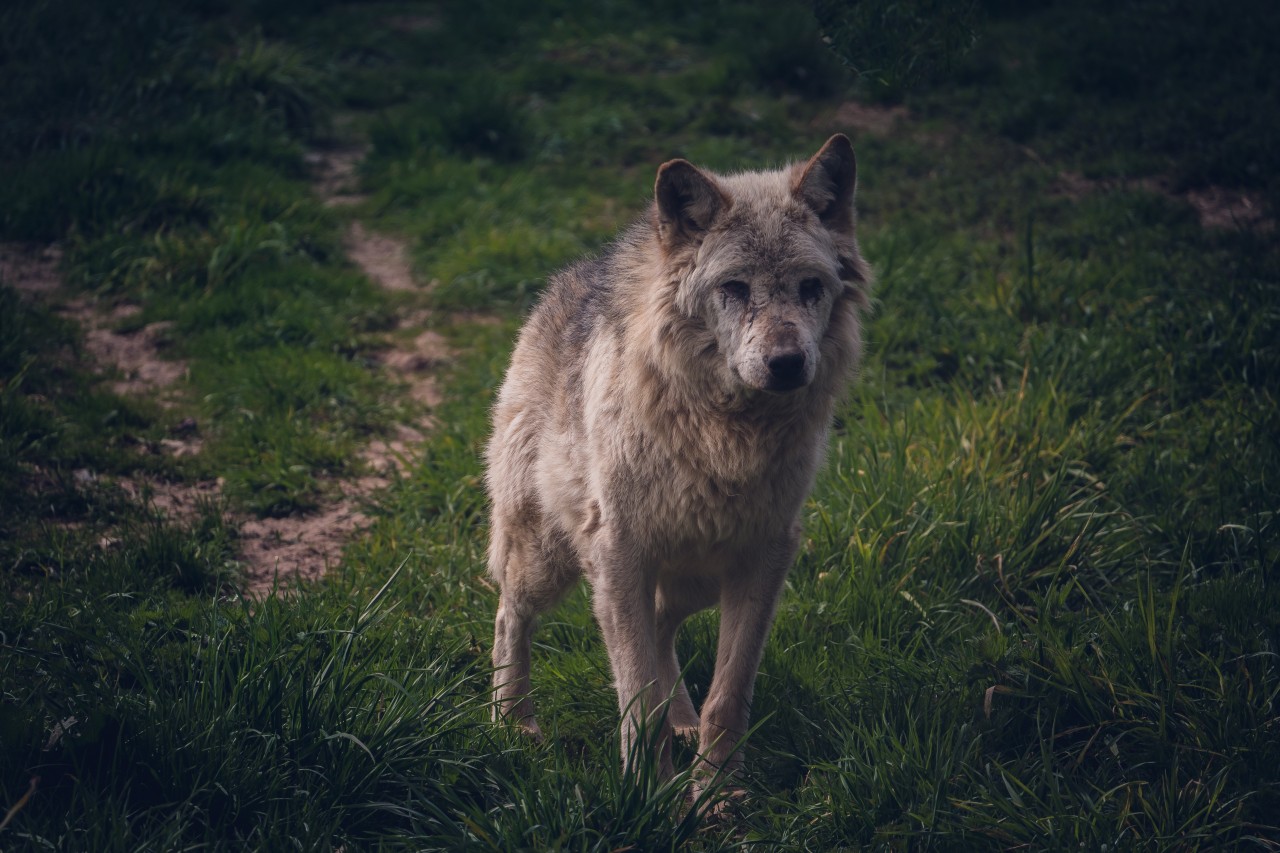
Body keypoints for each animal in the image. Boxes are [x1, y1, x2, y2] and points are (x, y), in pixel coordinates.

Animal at [486, 134, 871, 787]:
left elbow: (727, 697)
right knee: (509, 615)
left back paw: (683, 722)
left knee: (663, 629)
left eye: (810, 286)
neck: (725, 437)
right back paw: (512, 724)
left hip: (694, 578)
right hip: (547, 558)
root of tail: (568, 279)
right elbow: (637, 696)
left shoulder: (764, 556)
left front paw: (717, 795)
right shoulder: (620, 553)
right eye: (735, 287)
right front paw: (647, 793)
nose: (787, 363)